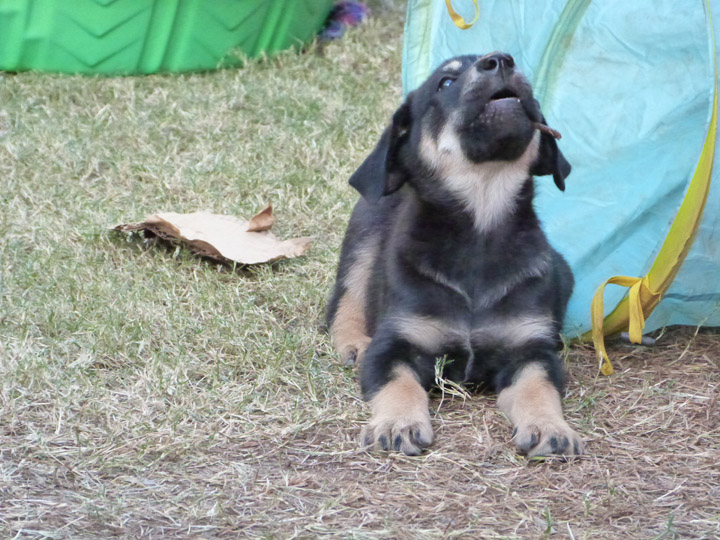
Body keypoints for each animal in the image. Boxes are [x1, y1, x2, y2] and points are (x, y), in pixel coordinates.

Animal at [330, 52, 584, 458]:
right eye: (445, 82)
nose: (502, 60)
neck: (479, 230)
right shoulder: (393, 344)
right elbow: (398, 383)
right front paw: (398, 424)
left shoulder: (531, 351)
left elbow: (538, 388)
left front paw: (550, 428)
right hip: (363, 237)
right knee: (347, 298)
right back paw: (353, 341)